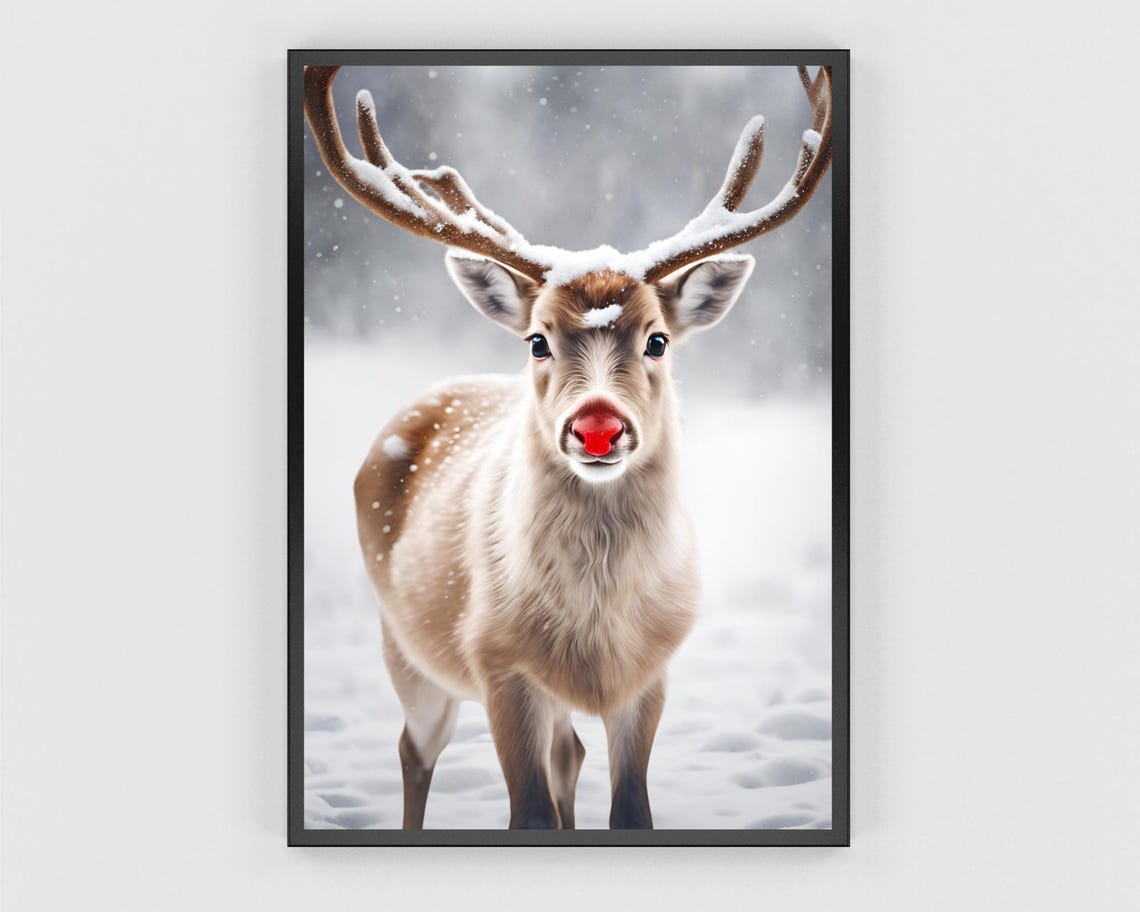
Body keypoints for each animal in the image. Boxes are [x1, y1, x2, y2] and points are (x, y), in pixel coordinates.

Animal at [303, 64, 832, 830]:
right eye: (537, 339)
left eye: (658, 339)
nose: (598, 426)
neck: (597, 636)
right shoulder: (497, 662)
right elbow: (526, 813)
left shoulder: (649, 674)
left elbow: (630, 810)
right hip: (404, 647)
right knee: (414, 749)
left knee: (567, 754)